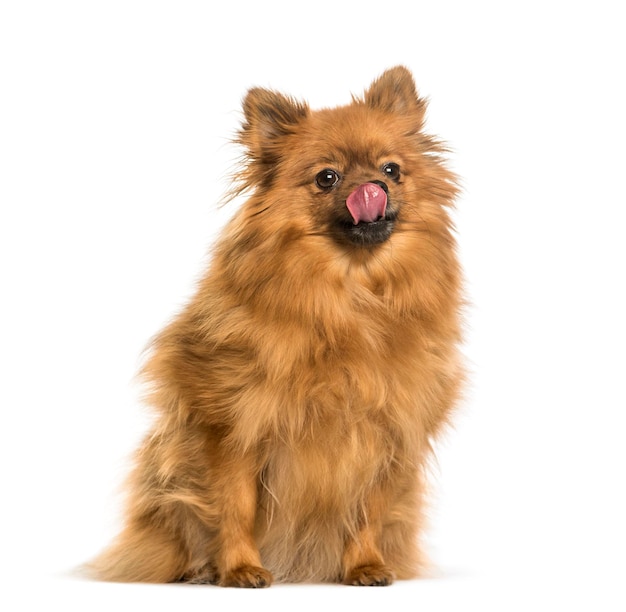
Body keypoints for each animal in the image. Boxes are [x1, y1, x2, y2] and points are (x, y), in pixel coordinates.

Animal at [91, 67, 464, 588]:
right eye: (326, 177)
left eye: (391, 169)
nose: (373, 187)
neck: (351, 299)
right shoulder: (233, 428)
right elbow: (235, 506)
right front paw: (240, 568)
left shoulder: (388, 432)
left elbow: (369, 510)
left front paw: (365, 565)